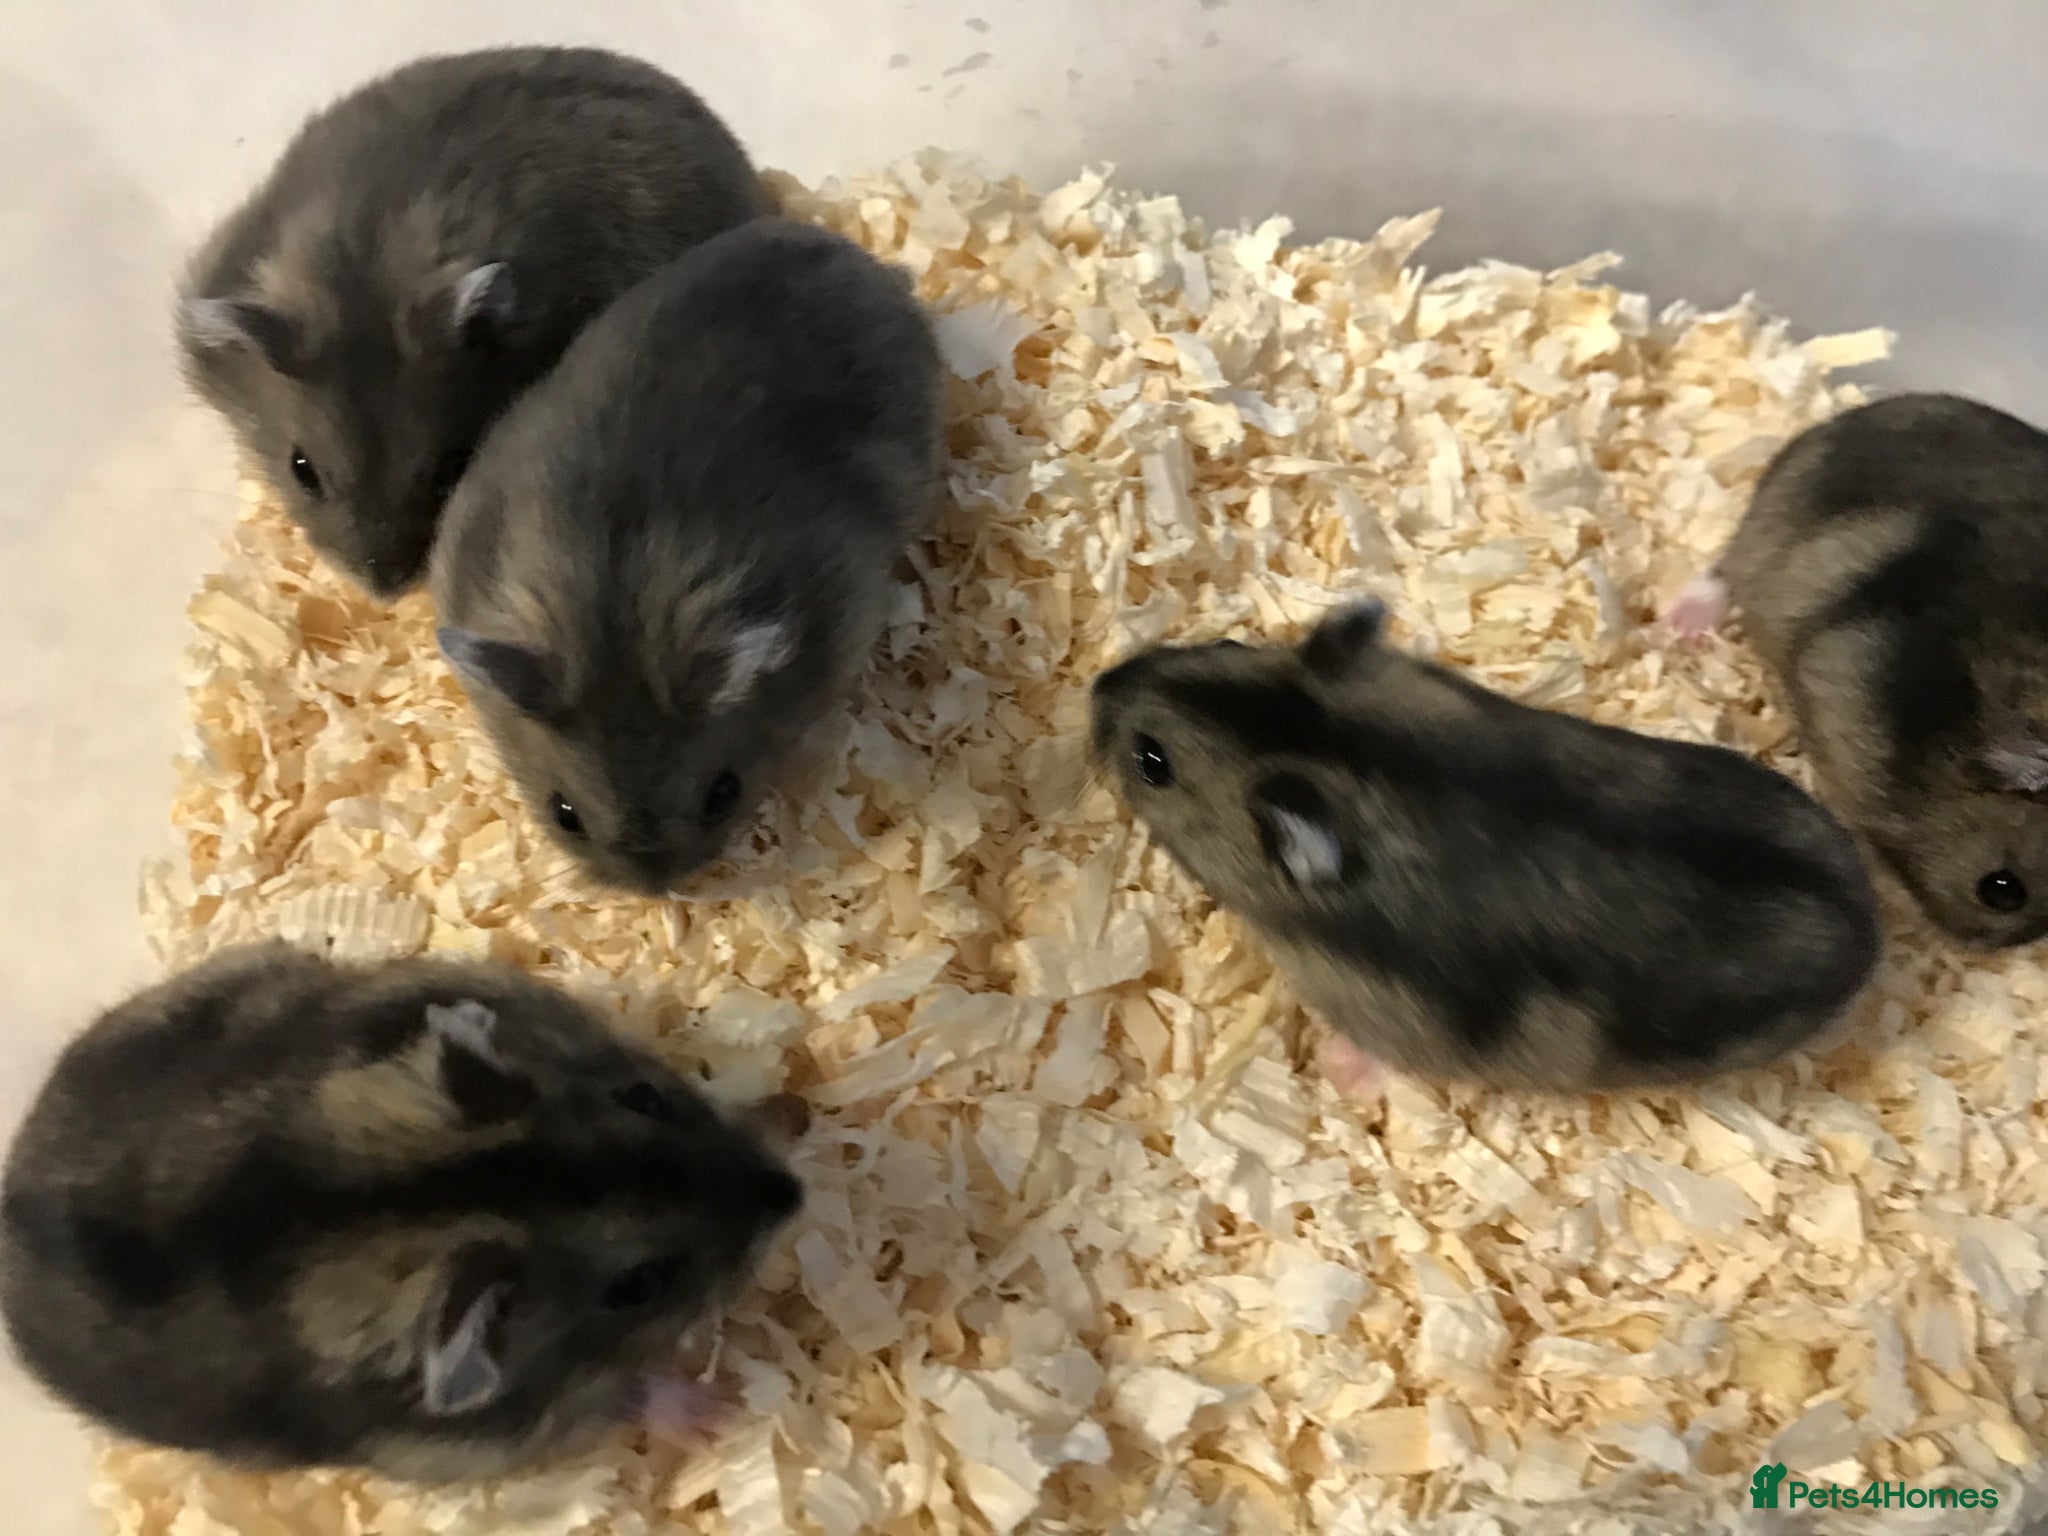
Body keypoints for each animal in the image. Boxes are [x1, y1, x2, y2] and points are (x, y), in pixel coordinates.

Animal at [0, 943, 803, 1482]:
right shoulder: (493, 1436)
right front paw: (718, 1412)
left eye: (646, 1096)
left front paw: (790, 1099)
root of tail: (7, 1194)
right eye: (639, 1286)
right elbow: (626, 1393)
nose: (791, 1194)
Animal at [1089, 601, 1881, 1092]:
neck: (1345, 755)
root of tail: (1870, 930)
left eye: (1152, 762)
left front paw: (1337, 1072)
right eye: (1225, 644)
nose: (1098, 684)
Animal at [1673, 394, 2048, 947]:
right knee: (1722, 570)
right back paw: (1683, 624)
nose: (1977, 950)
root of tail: (1841, 419)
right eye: (2001, 890)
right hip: (1760, 536)